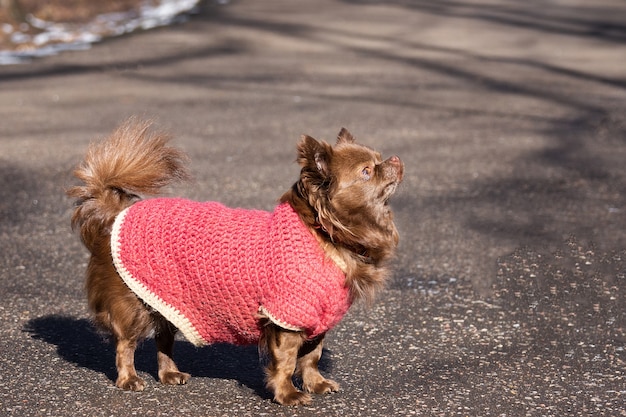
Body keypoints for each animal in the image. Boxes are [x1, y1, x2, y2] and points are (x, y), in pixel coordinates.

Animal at [66, 118, 402, 404]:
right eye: (367, 171)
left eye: (379, 157)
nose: (396, 160)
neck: (327, 235)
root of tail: (115, 216)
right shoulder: (287, 316)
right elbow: (287, 361)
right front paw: (288, 395)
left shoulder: (316, 319)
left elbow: (312, 357)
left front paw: (316, 384)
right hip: (133, 306)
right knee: (126, 345)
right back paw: (129, 379)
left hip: (167, 302)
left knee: (164, 340)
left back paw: (170, 374)